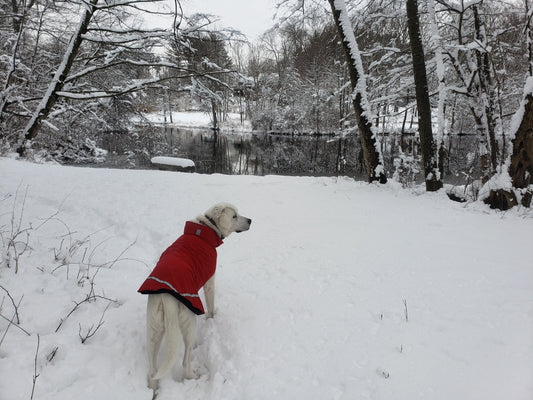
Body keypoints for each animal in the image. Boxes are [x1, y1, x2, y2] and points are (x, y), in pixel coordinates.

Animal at [139, 205, 251, 392]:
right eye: (234, 216)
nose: (250, 220)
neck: (207, 227)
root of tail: (167, 299)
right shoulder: (210, 282)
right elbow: (211, 305)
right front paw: (212, 319)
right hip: (189, 323)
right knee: (185, 362)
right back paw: (195, 376)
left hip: (154, 329)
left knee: (152, 370)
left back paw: (154, 387)